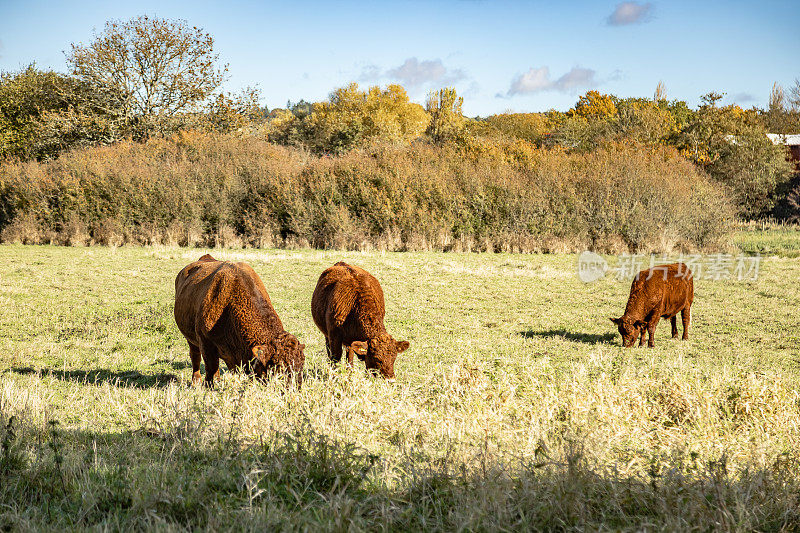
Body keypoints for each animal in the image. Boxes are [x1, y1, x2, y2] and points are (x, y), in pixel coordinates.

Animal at [173, 254, 304, 386]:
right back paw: (196, 381)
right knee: (195, 356)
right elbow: (210, 368)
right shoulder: (205, 343)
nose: (295, 388)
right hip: (190, 339)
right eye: (278, 368)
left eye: (301, 365)